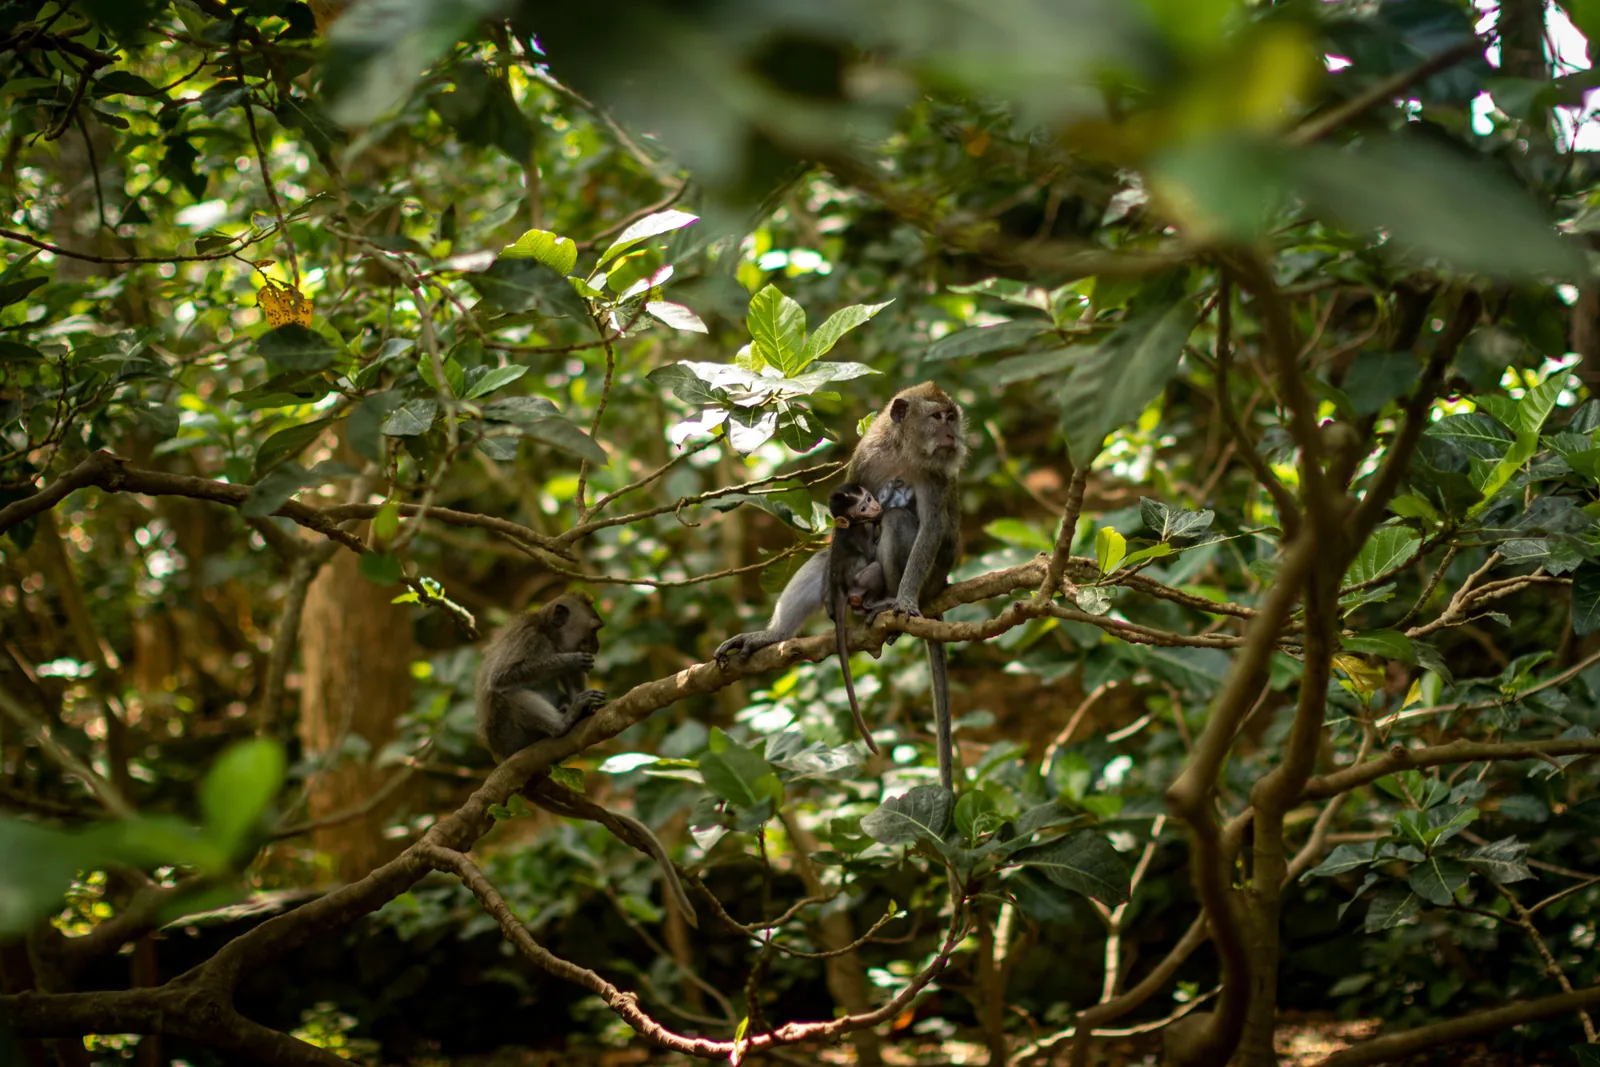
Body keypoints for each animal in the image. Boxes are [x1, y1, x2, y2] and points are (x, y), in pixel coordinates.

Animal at [476, 593, 698, 927]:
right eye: (594, 629)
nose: (596, 646)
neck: (549, 636)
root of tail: (500, 755)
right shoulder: (530, 640)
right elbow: (504, 676)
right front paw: (567, 662)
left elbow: (571, 680)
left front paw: (589, 705)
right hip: (508, 734)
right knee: (508, 694)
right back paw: (562, 724)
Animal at [717, 383, 967, 787]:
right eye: (937, 417)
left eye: (951, 417)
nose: (951, 435)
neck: (903, 451)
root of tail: (943, 584)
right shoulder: (866, 455)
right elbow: (840, 531)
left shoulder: (936, 476)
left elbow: (931, 528)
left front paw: (905, 601)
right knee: (825, 561)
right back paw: (774, 635)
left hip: (931, 578)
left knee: (897, 521)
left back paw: (888, 605)